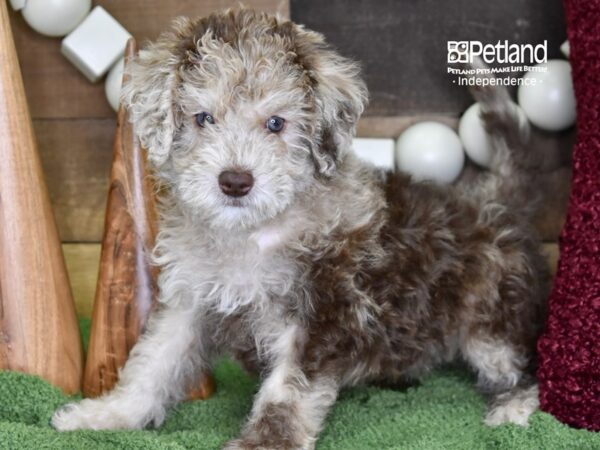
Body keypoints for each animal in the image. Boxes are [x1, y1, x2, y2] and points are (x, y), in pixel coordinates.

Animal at [51, 8, 548, 448]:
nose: (235, 181)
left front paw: (266, 443)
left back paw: (512, 407)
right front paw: (108, 414)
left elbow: (288, 391)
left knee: (523, 369)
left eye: (276, 123)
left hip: (492, 321)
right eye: (203, 118)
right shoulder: (190, 300)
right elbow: (153, 363)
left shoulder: (321, 312)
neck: (250, 232)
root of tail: (491, 201)